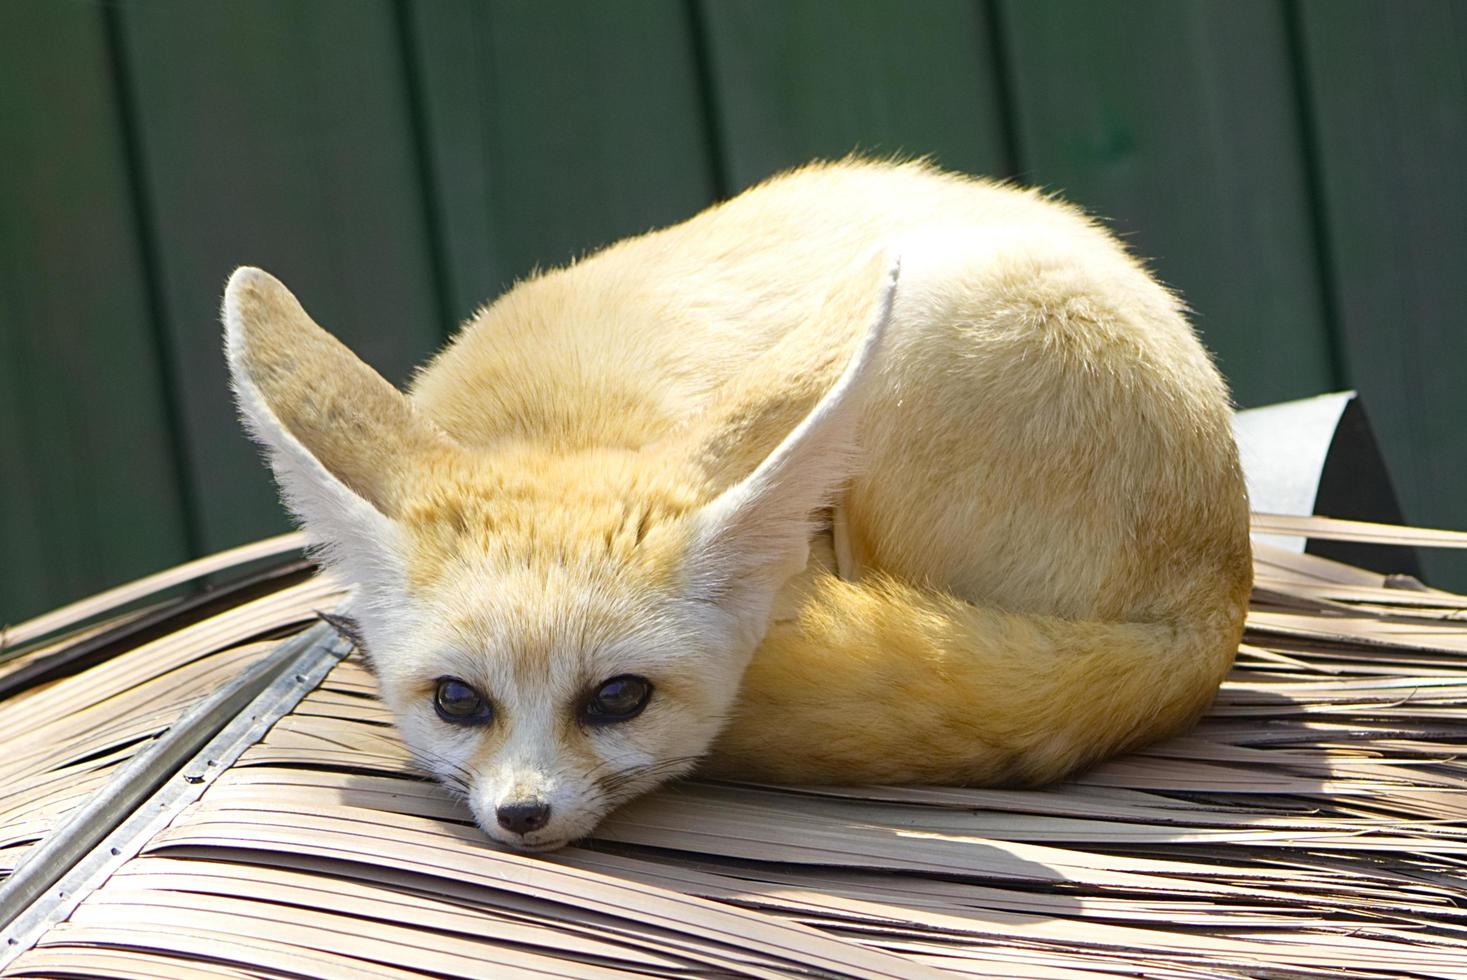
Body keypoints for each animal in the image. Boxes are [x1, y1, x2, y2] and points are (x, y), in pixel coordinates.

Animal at [225, 159, 1249, 850]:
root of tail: (1214, 602)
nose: (524, 815)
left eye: (618, 698)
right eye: (456, 700)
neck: (561, 412)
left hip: (926, 325)